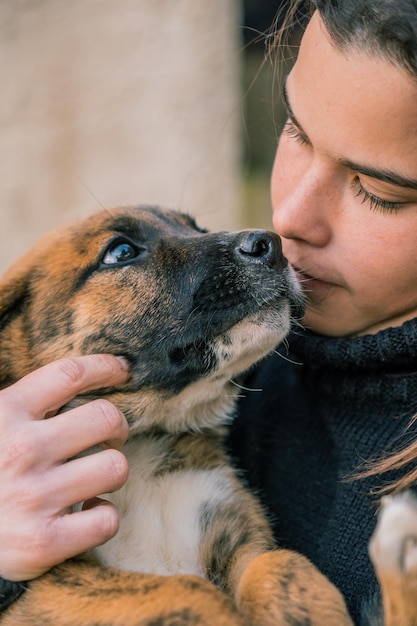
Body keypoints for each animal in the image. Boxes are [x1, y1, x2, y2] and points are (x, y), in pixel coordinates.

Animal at [0, 207, 352, 620]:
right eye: (121, 251)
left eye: (196, 228)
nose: (272, 244)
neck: (143, 448)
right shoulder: (48, 582)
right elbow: (187, 590)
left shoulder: (237, 530)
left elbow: (282, 564)